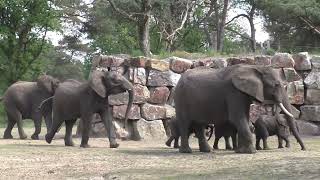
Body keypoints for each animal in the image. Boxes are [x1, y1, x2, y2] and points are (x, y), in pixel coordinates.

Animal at [174, 64, 306, 153]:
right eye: (276, 85)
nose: (303, 149)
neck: (254, 68)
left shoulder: (243, 94)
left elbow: (244, 118)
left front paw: (240, 151)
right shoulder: (233, 92)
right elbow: (237, 118)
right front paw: (251, 152)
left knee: (199, 125)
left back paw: (208, 151)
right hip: (181, 98)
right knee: (185, 123)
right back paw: (187, 151)